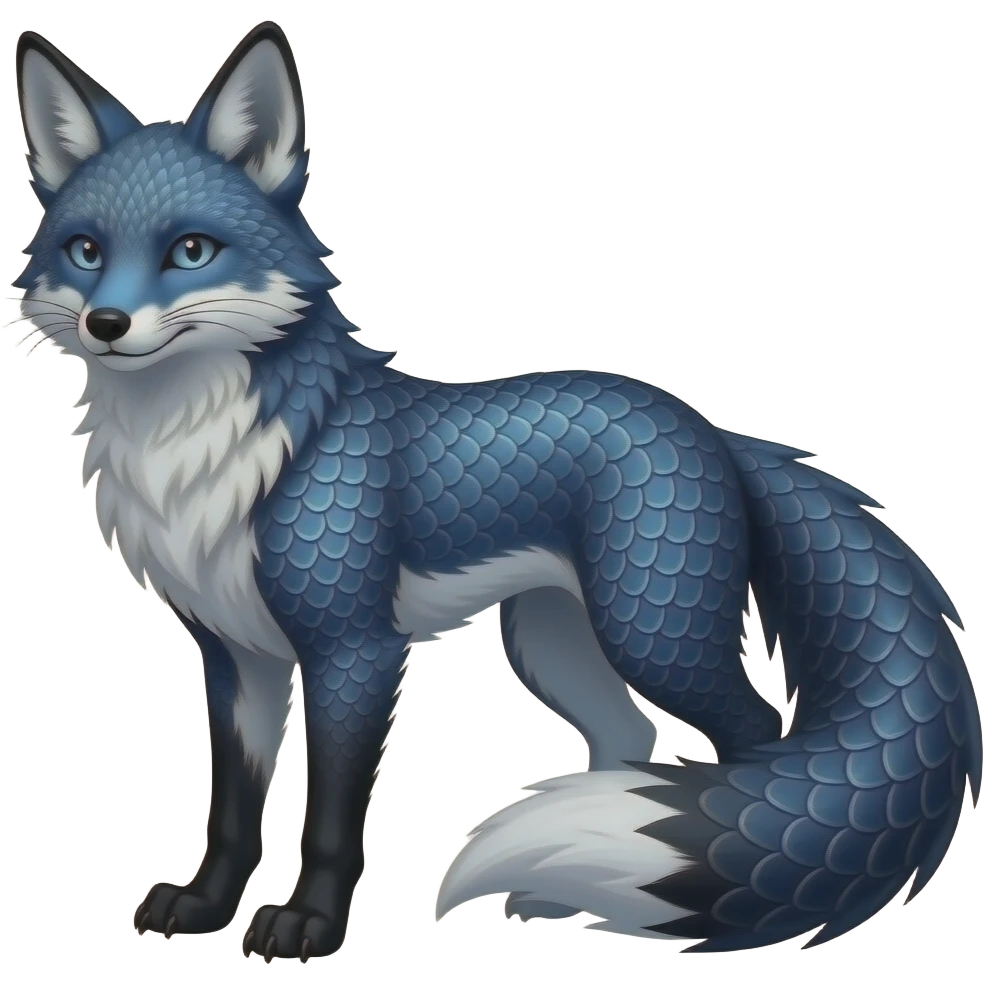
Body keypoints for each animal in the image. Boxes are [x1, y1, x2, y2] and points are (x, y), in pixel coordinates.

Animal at [9, 20, 981, 962]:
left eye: (190, 251)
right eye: (85, 251)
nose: (106, 323)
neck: (202, 458)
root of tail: (710, 428)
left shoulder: (353, 651)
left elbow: (330, 820)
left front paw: (310, 927)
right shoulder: (235, 657)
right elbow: (233, 811)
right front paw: (207, 907)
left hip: (654, 636)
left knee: (753, 743)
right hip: (552, 645)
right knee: (633, 745)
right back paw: (574, 898)